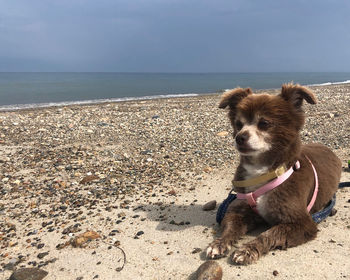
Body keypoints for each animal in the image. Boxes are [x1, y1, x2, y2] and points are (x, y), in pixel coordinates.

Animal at [206, 83, 340, 264]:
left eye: (264, 123)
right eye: (238, 124)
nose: (239, 137)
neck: (262, 171)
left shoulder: (302, 223)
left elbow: (270, 234)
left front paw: (248, 249)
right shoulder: (239, 211)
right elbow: (230, 226)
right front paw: (220, 243)